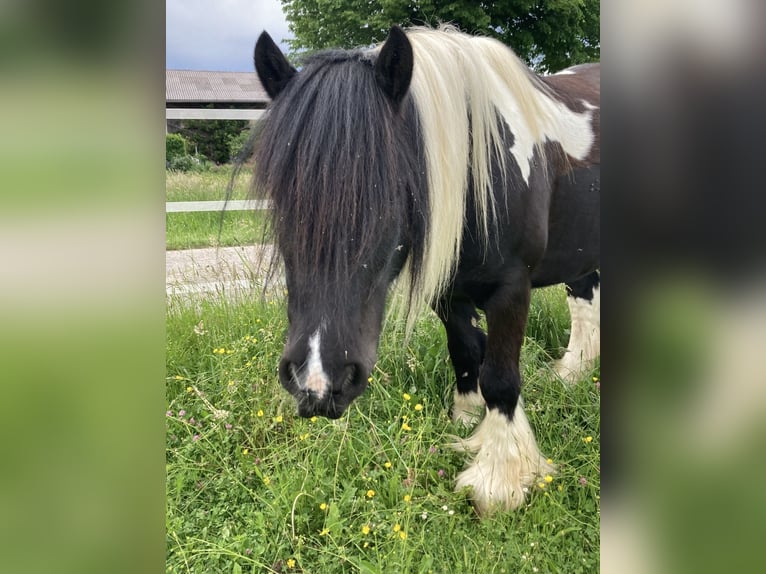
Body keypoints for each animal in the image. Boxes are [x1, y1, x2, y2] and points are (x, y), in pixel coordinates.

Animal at [251, 25, 600, 516]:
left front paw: (498, 480)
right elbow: (466, 352)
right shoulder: (449, 292)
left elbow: (500, 377)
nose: (316, 383)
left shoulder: (512, 288)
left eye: (390, 197)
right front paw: (468, 425)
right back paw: (572, 374)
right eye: (281, 200)